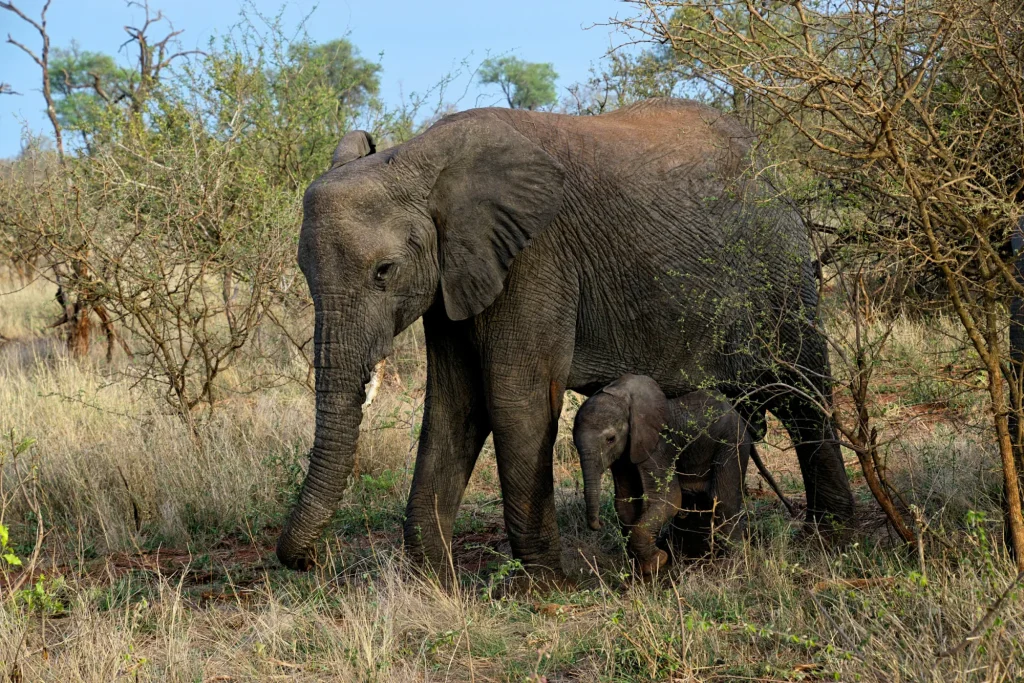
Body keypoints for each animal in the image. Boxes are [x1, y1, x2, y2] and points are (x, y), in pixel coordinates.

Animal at [277, 97, 855, 579]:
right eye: (302, 272)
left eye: (384, 271)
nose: (307, 561)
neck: (419, 158)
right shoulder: (452, 276)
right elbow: (453, 404)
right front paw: (433, 584)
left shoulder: (535, 258)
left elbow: (517, 402)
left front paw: (547, 587)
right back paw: (693, 552)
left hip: (778, 267)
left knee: (802, 392)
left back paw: (829, 541)